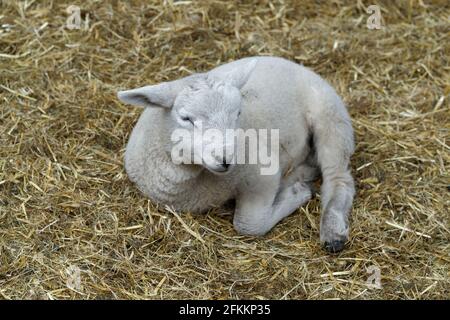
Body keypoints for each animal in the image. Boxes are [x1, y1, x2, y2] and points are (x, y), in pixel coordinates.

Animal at [117, 56, 356, 254]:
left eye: (238, 113)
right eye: (185, 118)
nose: (226, 159)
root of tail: (293, 63)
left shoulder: (263, 175)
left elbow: (249, 225)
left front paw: (297, 193)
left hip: (331, 116)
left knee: (339, 178)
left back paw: (332, 231)